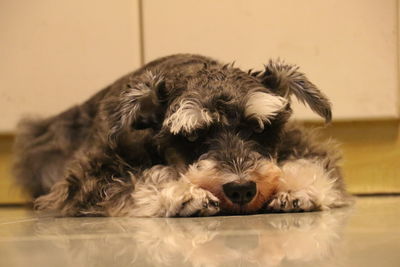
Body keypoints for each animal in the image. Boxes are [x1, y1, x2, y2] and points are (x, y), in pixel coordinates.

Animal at [12, 54, 350, 218]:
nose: (241, 189)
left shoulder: (299, 143)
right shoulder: (89, 175)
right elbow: (140, 180)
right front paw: (186, 195)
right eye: (191, 137)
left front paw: (296, 189)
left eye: (259, 128)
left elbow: (312, 164)